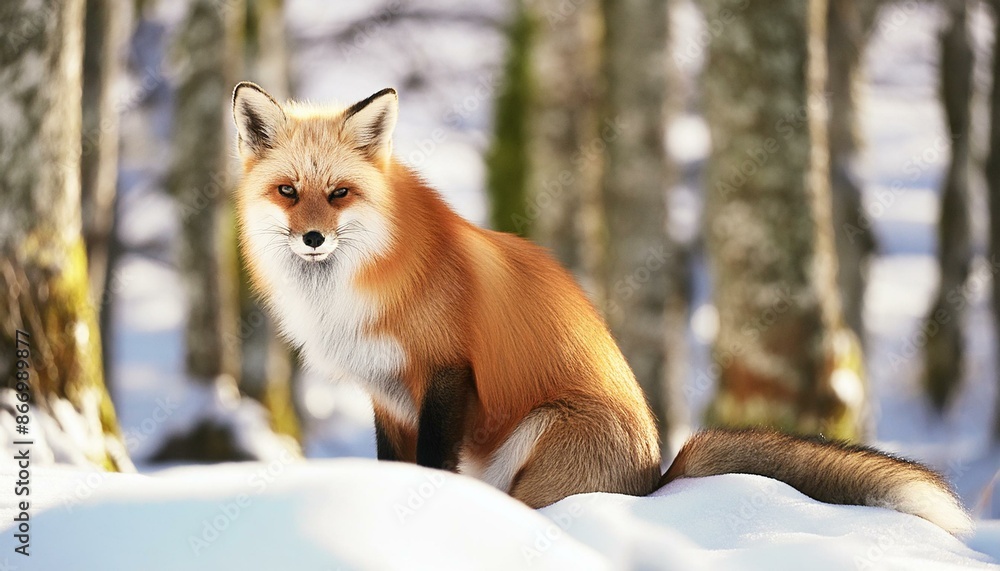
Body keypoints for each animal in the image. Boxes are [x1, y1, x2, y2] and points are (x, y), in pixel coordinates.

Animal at [230, 82, 973, 536]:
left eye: (341, 194)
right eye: (290, 191)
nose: (313, 237)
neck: (358, 286)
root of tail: (654, 480)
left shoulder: (445, 373)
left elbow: (432, 469)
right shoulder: (386, 391)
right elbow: (394, 467)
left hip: (539, 427)